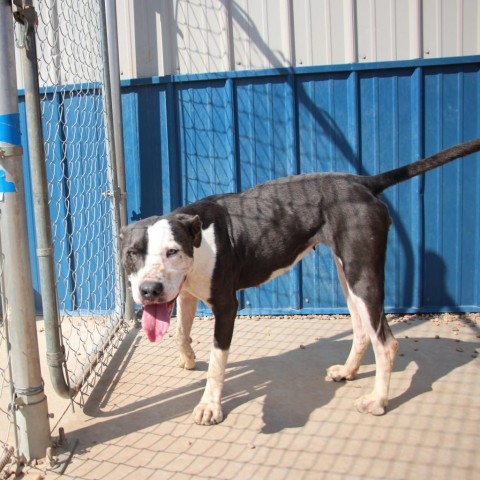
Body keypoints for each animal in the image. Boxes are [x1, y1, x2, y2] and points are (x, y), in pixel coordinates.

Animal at [120, 137, 480, 426]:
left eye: (172, 251)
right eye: (131, 254)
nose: (149, 290)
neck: (198, 238)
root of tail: (362, 182)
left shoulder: (226, 306)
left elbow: (218, 363)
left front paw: (210, 405)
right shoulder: (186, 293)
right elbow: (181, 330)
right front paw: (189, 358)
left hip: (362, 274)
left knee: (386, 341)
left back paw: (378, 401)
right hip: (347, 275)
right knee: (363, 328)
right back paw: (348, 371)